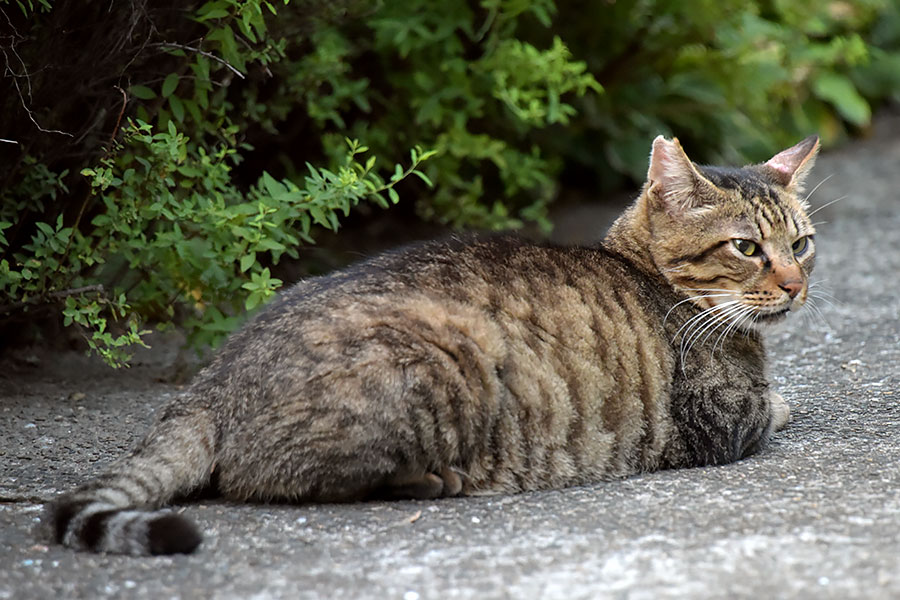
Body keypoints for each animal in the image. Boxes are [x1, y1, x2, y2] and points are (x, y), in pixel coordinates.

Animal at [44, 134, 824, 556]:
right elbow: (773, 405)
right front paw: (786, 395)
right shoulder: (721, 418)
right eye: (747, 249)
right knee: (272, 479)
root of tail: (214, 381)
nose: (795, 285)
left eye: (802, 244)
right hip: (446, 363)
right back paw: (430, 480)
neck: (645, 274)